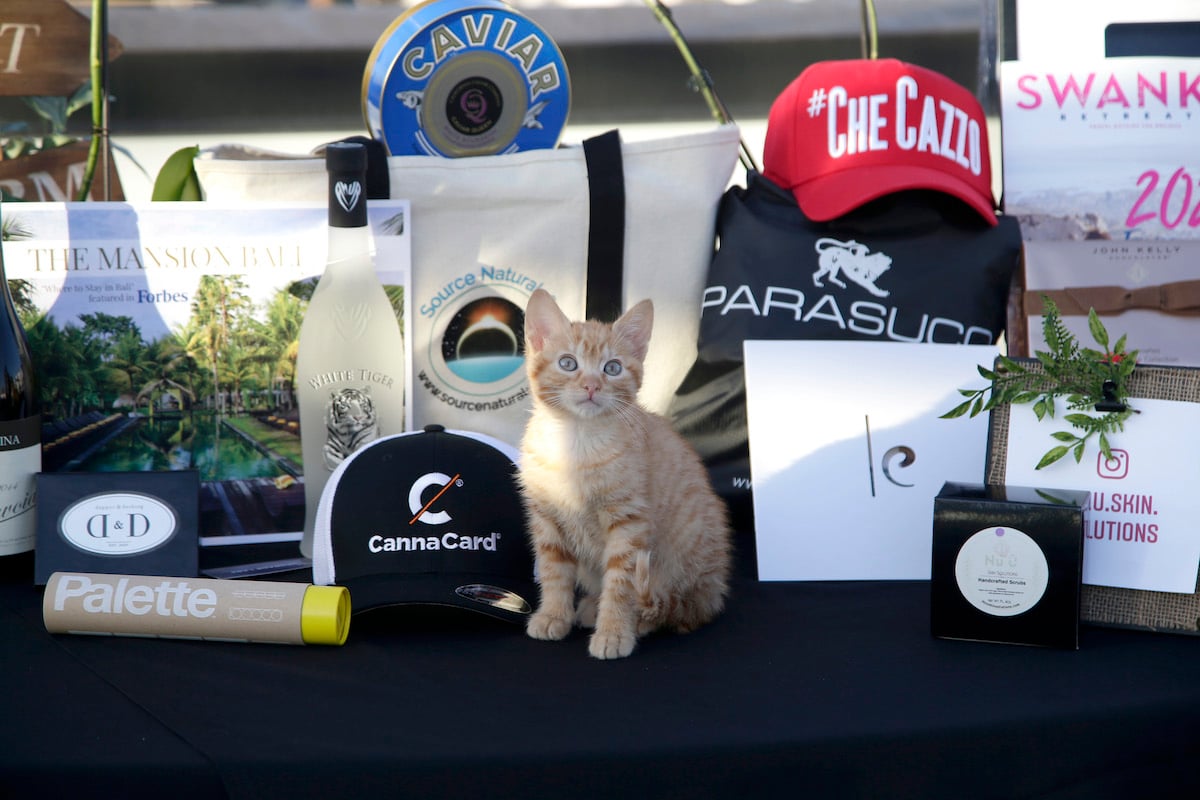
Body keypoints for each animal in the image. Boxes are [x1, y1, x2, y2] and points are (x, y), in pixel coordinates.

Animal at [518, 287, 729, 657]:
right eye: (568, 363)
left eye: (612, 368)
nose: (591, 385)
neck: (576, 441)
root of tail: (712, 589)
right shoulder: (547, 519)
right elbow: (553, 571)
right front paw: (553, 615)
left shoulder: (629, 522)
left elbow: (620, 583)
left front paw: (614, 633)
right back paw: (590, 605)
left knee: (675, 610)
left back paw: (636, 619)